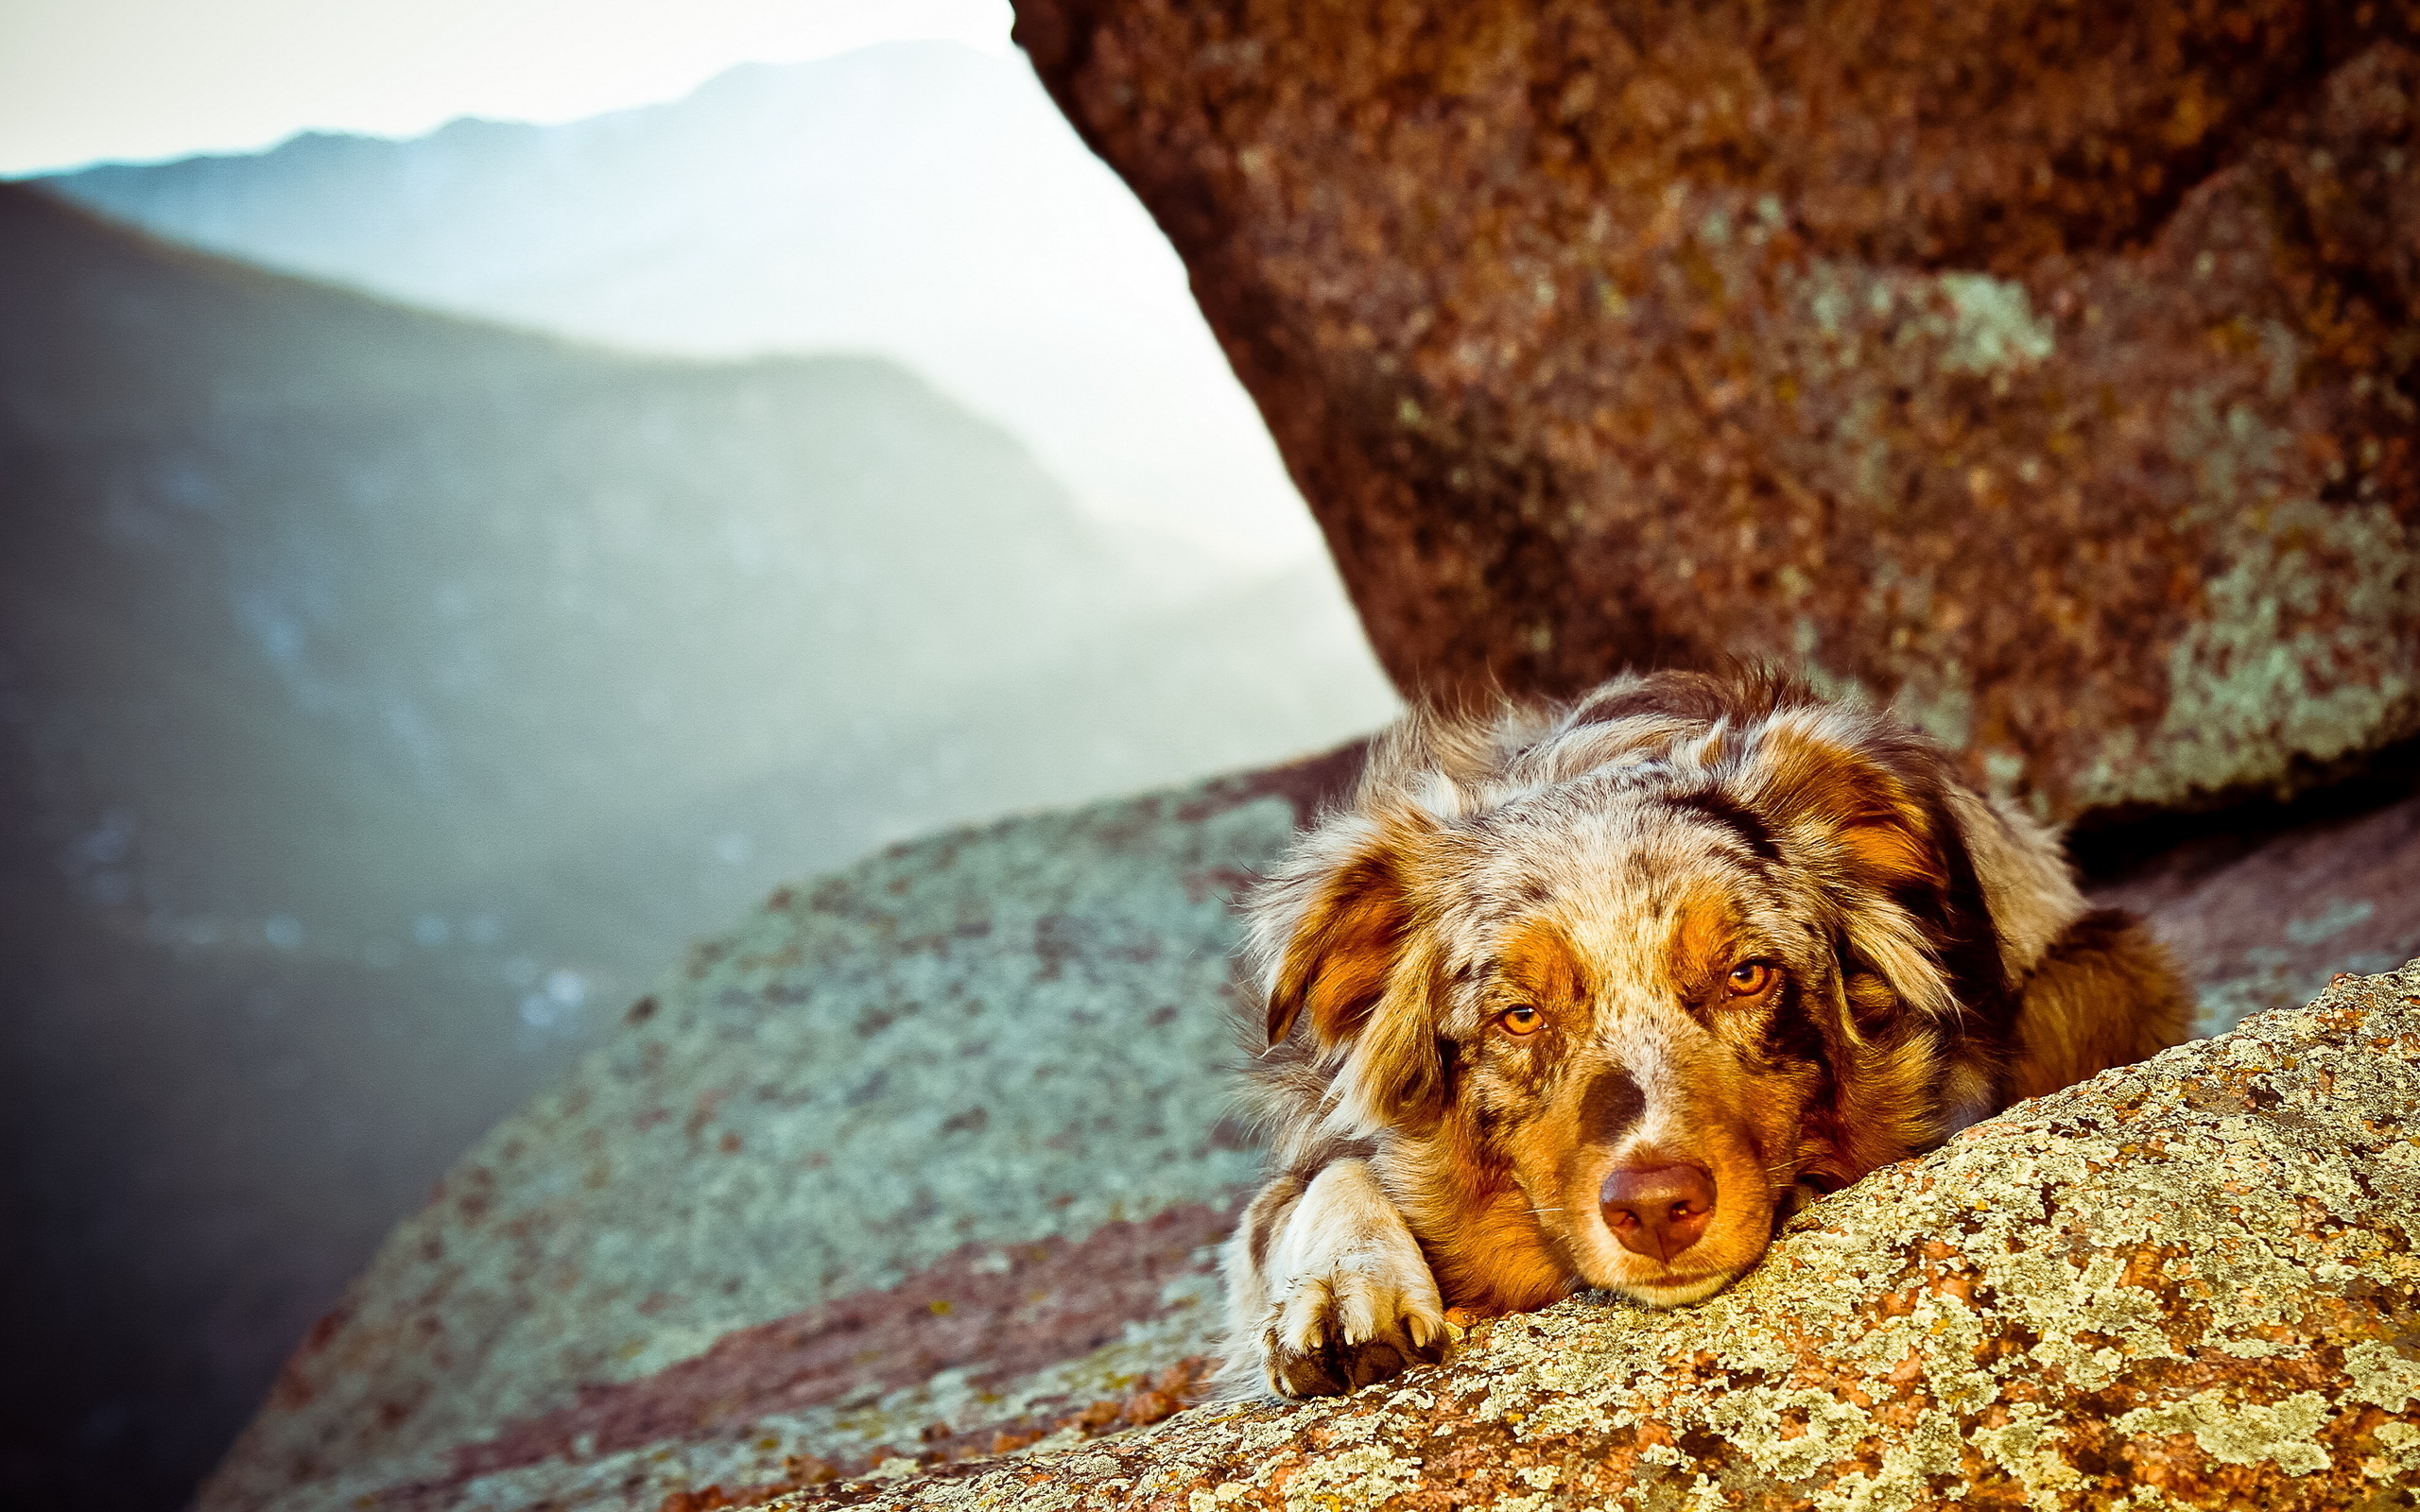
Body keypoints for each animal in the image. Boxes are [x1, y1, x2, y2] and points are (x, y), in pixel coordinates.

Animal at [1229, 667, 2197, 1393]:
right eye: (1521, 1016)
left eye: (1746, 976)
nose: (1657, 1210)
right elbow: (1321, 1182)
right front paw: (1344, 1288)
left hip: (2092, 974)